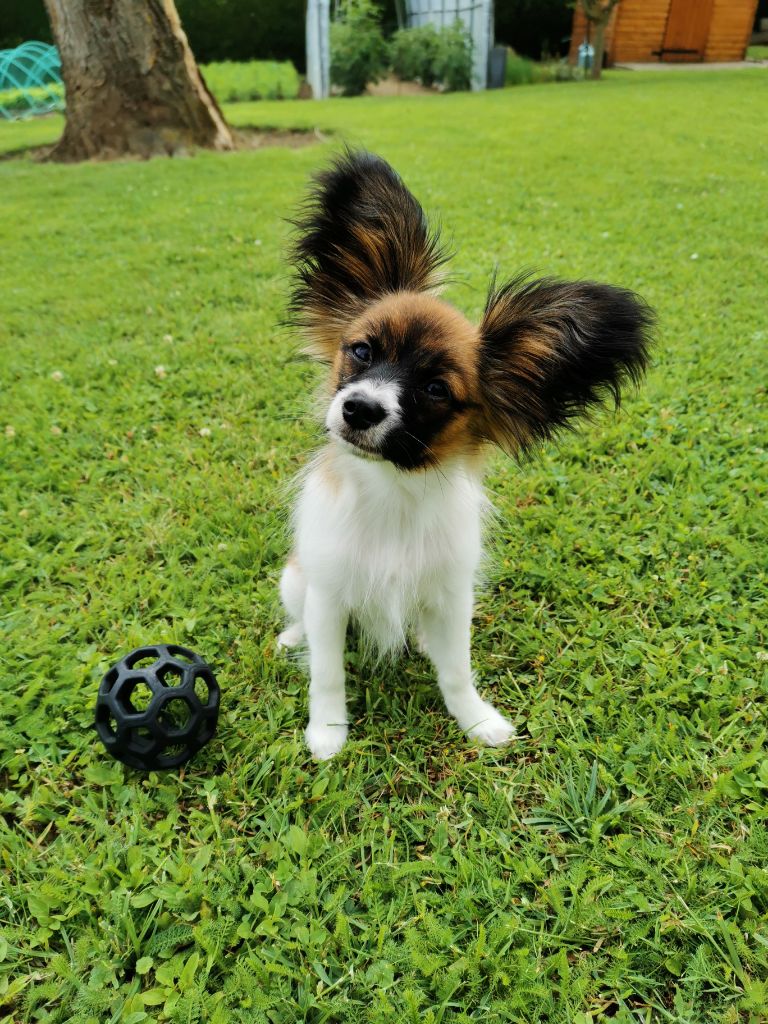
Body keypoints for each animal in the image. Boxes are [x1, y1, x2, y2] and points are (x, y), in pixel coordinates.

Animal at [280, 151, 651, 761]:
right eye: (362, 351)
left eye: (435, 390)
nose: (359, 409)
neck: (393, 494)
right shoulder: (329, 594)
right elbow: (327, 673)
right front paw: (328, 734)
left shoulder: (453, 593)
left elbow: (456, 670)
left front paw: (476, 721)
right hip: (295, 579)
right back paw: (292, 636)